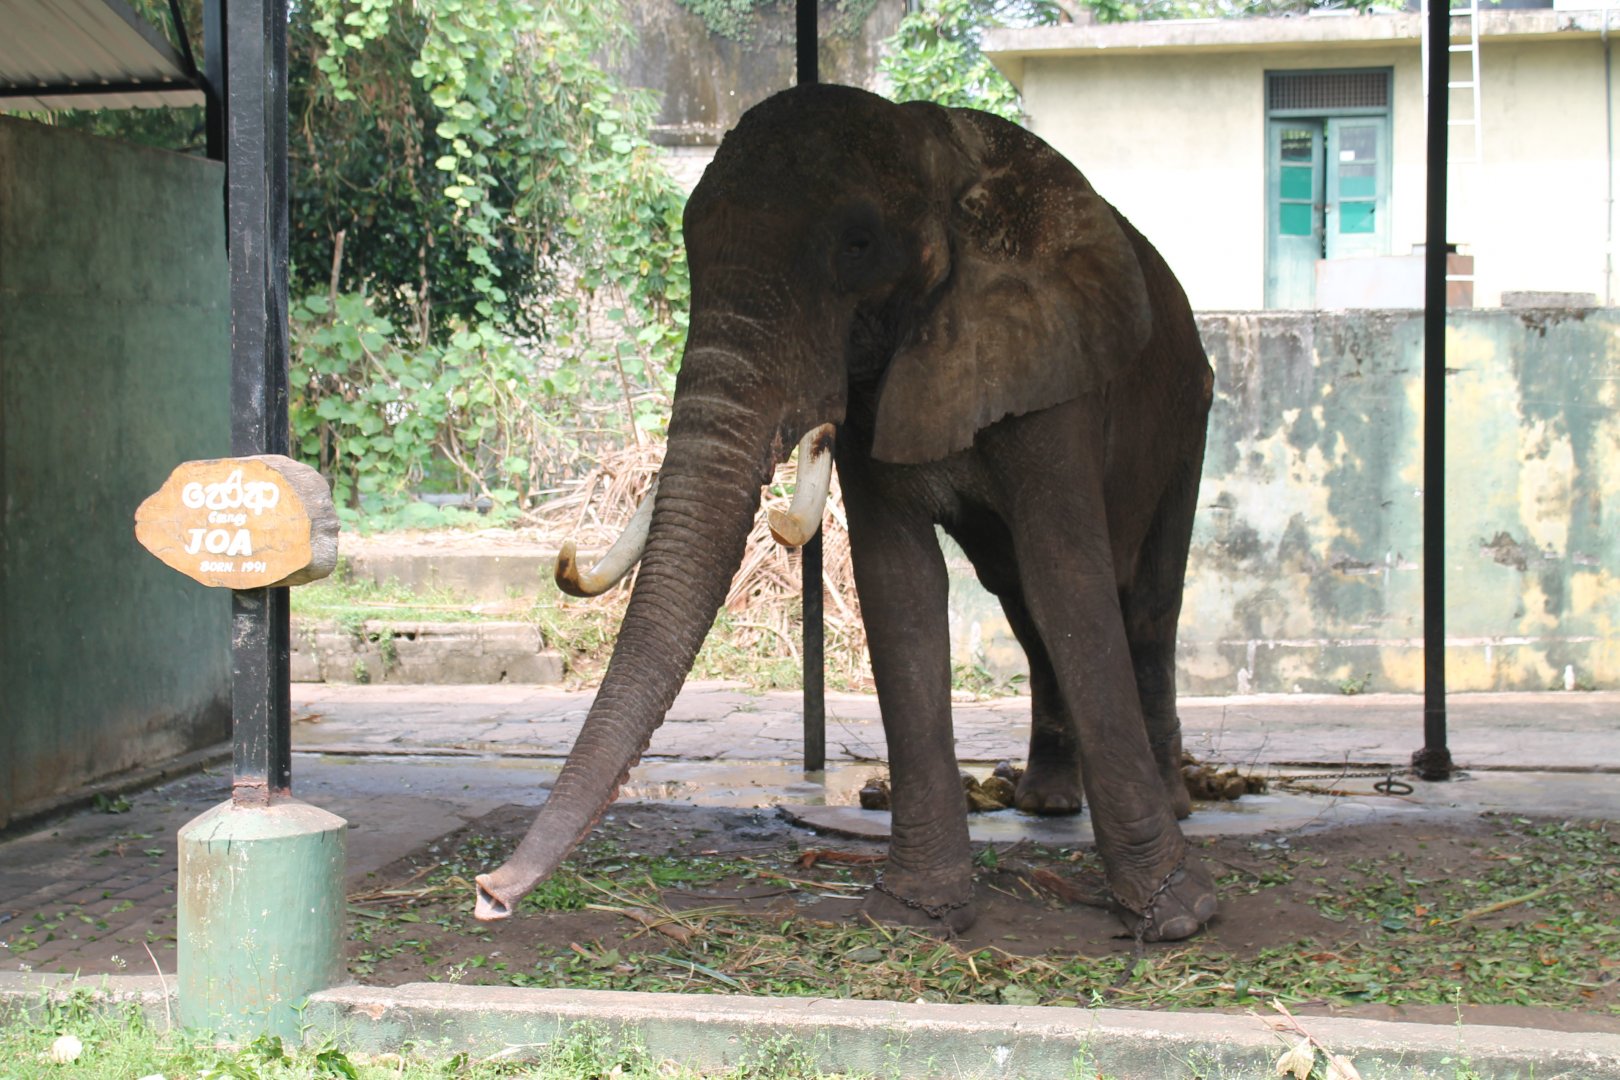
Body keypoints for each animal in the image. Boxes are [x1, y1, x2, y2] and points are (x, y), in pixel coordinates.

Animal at [475, 83, 1217, 941]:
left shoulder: (1051, 362)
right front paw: (917, 913)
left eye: (858, 245)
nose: (490, 893)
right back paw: (1047, 803)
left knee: (1145, 603)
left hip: (1190, 410)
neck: (937, 150)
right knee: (1020, 602)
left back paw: (1170, 803)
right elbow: (901, 583)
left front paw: (1176, 917)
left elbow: (1067, 573)